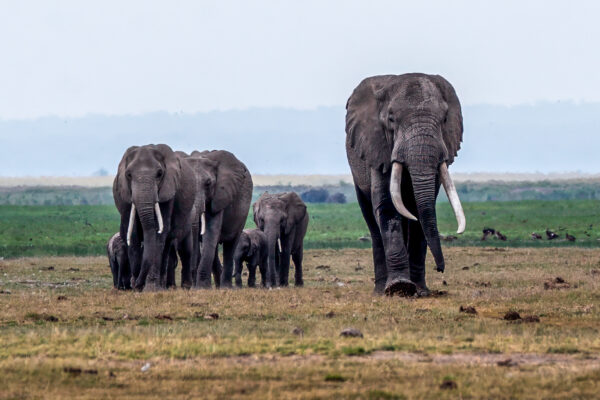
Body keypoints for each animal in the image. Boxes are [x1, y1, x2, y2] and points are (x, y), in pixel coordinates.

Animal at [113, 144, 196, 290]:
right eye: (128, 175)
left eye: (159, 174)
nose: (137, 284)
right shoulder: (125, 196)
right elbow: (133, 234)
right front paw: (137, 286)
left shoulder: (167, 192)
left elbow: (158, 232)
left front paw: (150, 288)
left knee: (182, 248)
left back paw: (175, 286)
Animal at [186, 150, 254, 288]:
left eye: (208, 183)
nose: (191, 286)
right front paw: (198, 287)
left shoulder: (220, 196)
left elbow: (211, 231)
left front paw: (202, 288)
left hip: (242, 214)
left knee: (231, 245)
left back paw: (225, 287)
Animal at [344, 72, 466, 296]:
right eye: (391, 120)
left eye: (445, 119)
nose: (440, 269)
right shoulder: (379, 149)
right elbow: (387, 207)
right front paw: (399, 287)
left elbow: (421, 211)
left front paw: (420, 291)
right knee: (371, 220)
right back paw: (380, 290)